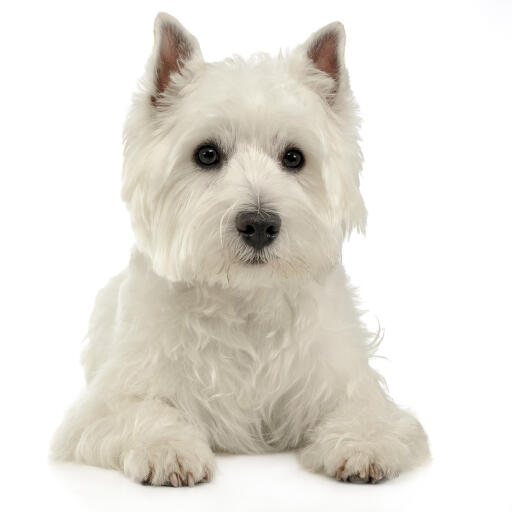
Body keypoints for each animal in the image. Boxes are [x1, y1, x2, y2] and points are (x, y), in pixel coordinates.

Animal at [51, 11, 428, 484]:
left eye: (294, 157)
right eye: (207, 154)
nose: (260, 224)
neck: (246, 299)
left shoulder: (345, 380)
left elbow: (365, 411)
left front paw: (363, 446)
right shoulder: (108, 403)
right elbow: (142, 412)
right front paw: (168, 451)